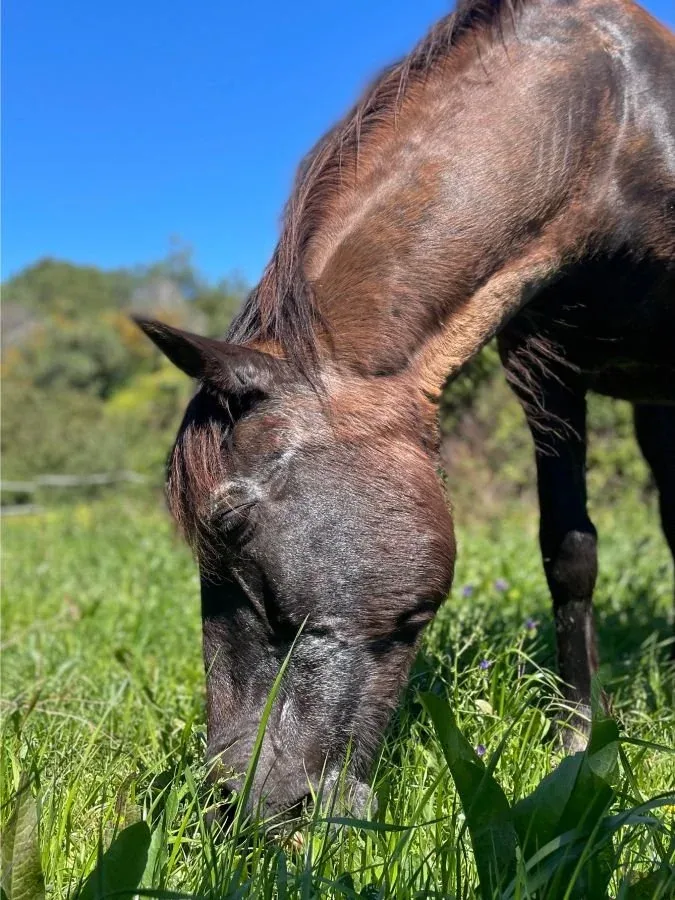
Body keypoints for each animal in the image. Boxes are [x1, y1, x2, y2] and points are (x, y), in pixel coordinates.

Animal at [135, 0, 675, 815]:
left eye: (229, 519)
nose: (234, 797)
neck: (611, 128)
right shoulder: (544, 369)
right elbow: (569, 553)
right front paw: (579, 739)